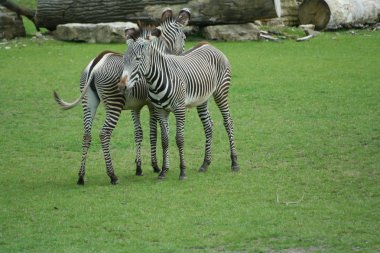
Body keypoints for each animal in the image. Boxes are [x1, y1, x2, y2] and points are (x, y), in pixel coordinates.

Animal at [53, 8, 190, 185]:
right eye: (184, 37)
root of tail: (96, 63)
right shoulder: (152, 105)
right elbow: (154, 134)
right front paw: (155, 166)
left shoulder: (135, 106)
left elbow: (138, 133)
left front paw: (139, 167)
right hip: (114, 103)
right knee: (104, 134)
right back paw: (112, 175)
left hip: (88, 102)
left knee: (86, 135)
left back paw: (81, 176)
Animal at [121, 20, 240, 182]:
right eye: (124, 60)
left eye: (138, 59)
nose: (122, 86)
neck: (156, 80)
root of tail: (209, 45)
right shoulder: (161, 111)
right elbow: (164, 140)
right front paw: (163, 171)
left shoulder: (179, 109)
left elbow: (179, 139)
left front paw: (182, 171)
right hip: (202, 98)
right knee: (208, 125)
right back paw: (205, 163)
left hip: (221, 92)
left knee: (228, 122)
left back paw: (234, 162)